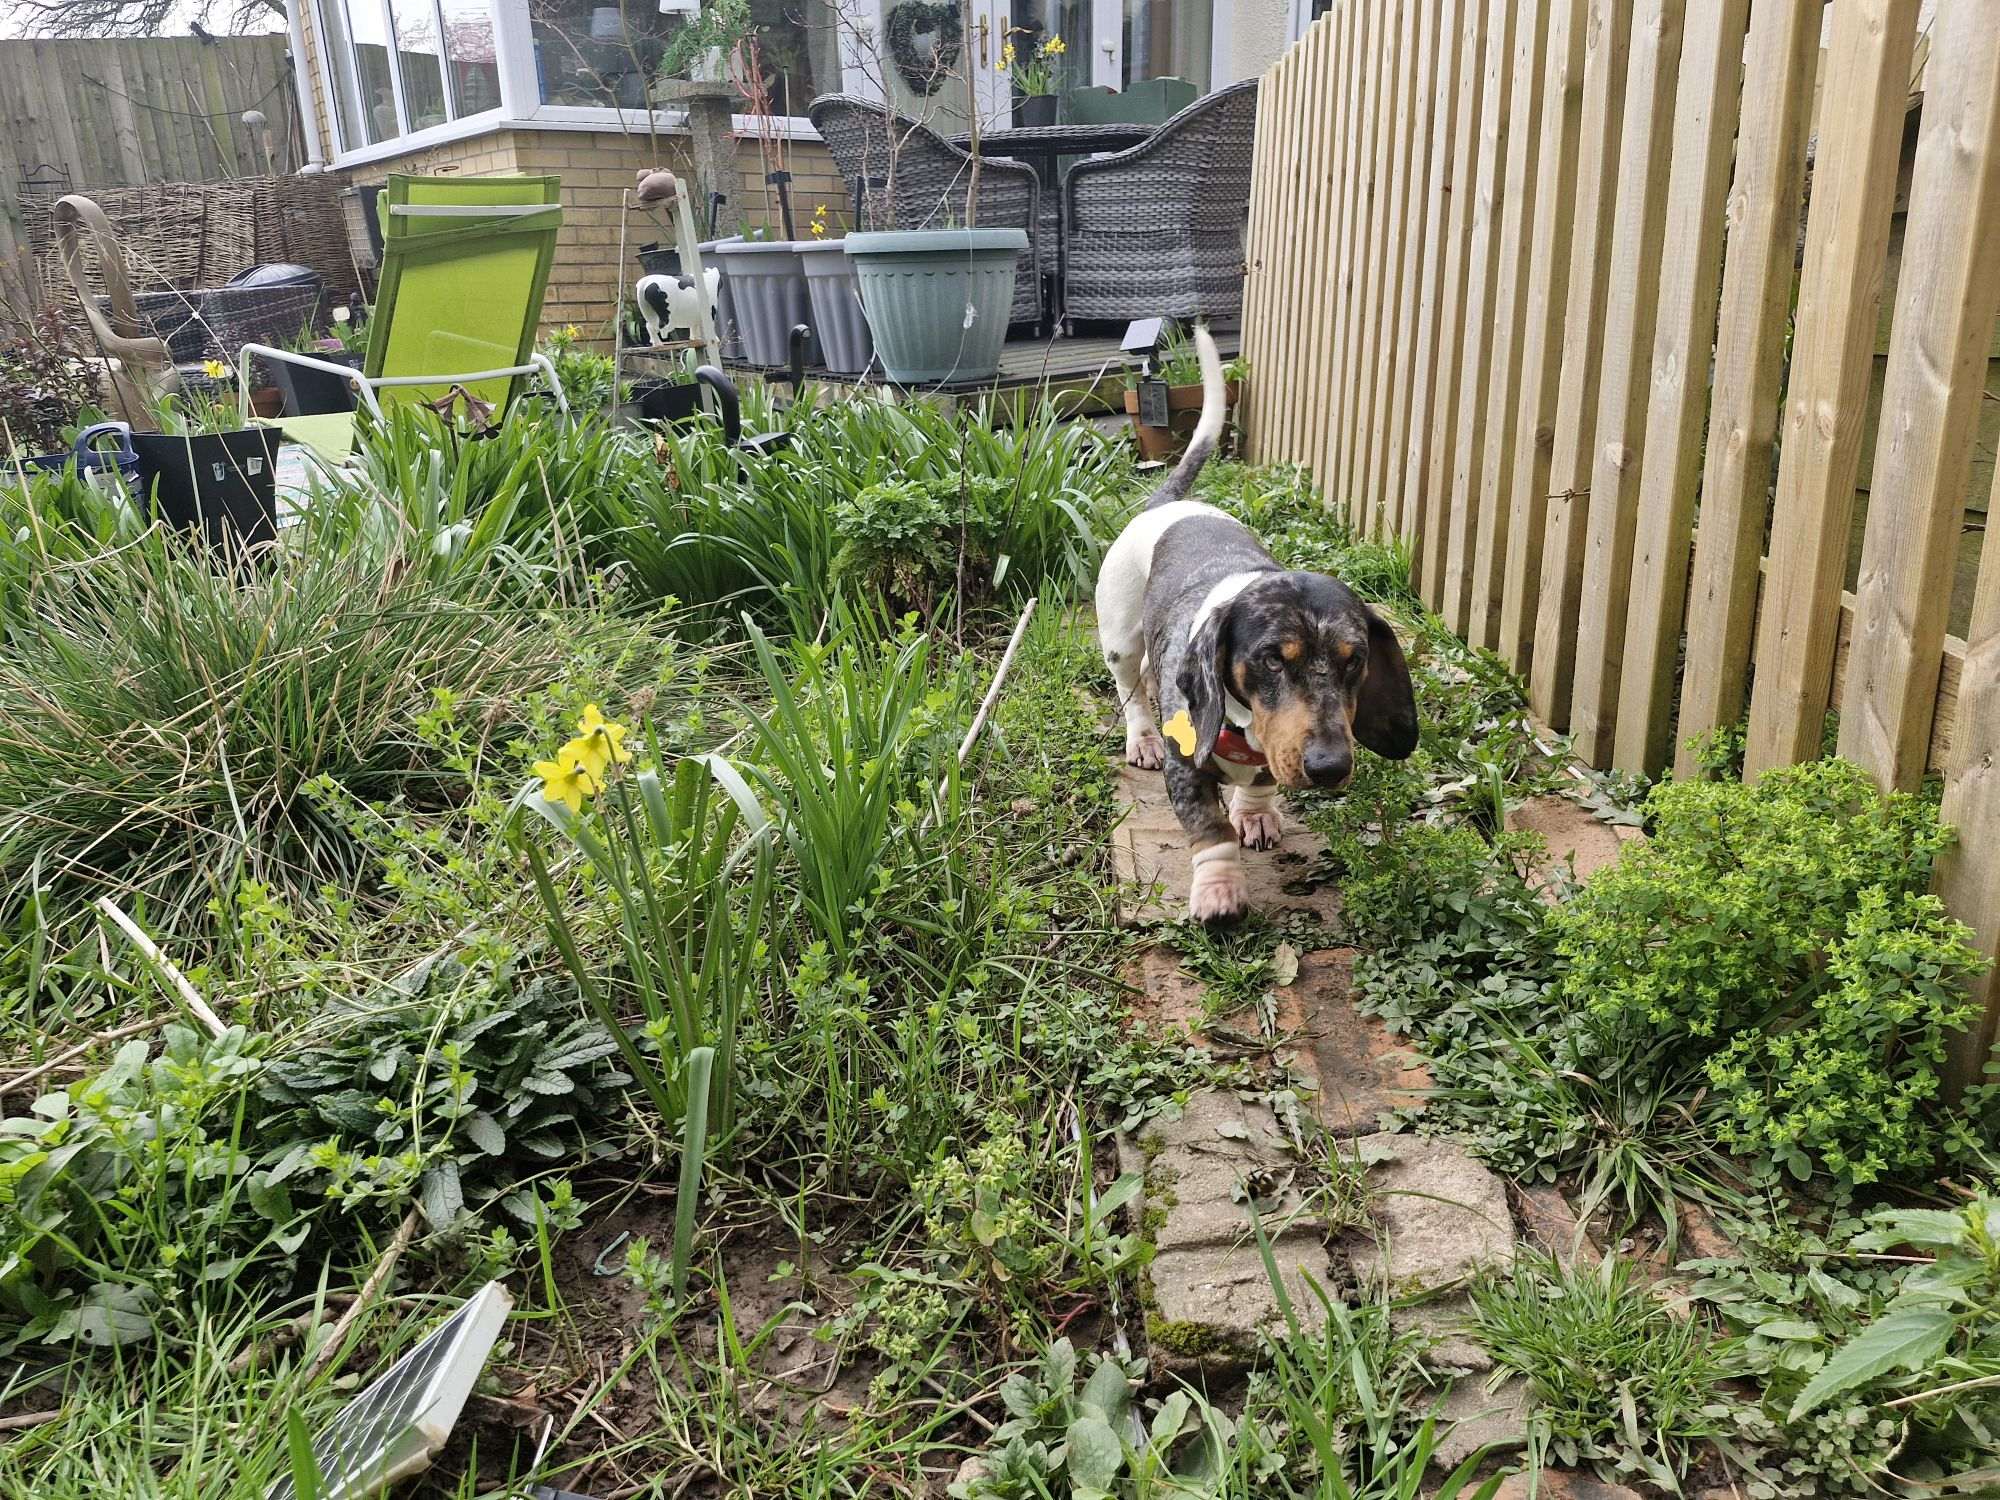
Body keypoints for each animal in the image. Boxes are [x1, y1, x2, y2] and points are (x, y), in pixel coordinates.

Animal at [1094, 325, 1420, 923]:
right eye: (1271, 659)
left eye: (1356, 660)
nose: (1330, 767)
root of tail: (1163, 504)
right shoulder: (1186, 767)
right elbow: (1210, 830)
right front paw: (1219, 892)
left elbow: (1261, 783)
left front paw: (1256, 813)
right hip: (1120, 639)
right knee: (1131, 691)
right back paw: (1142, 740)